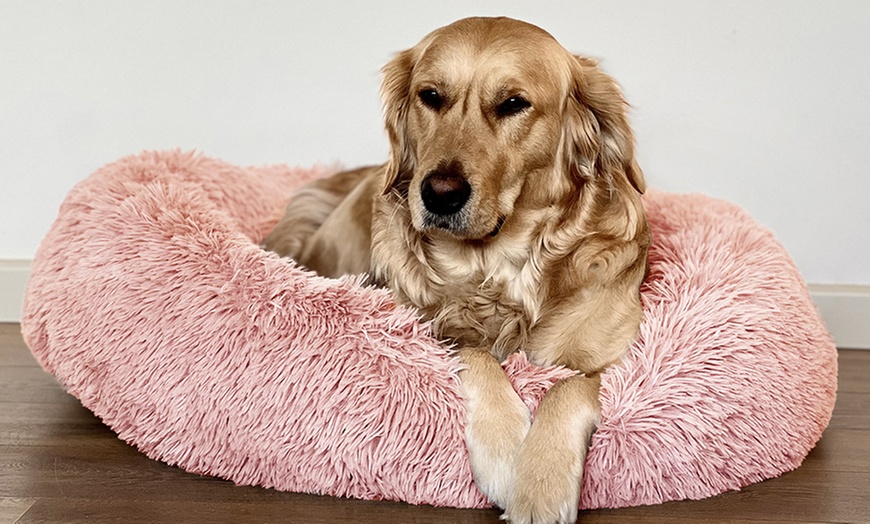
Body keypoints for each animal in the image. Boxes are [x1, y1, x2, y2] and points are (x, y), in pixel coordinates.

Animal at [262, 16, 652, 524]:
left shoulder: (613, 362)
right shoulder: (418, 328)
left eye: (513, 104)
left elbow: (571, 386)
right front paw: (506, 451)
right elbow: (474, 353)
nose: (439, 194)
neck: (498, 268)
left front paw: (541, 487)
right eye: (430, 96)